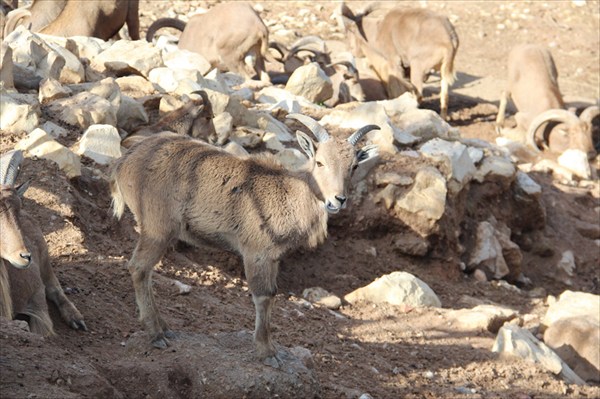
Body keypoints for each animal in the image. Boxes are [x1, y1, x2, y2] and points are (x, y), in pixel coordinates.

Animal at [0, 149, 86, 334]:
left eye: (18, 208)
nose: (25, 257)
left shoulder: (37, 307)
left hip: (46, 262)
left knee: (55, 288)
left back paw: (76, 319)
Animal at [109, 115, 380, 366]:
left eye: (354, 166)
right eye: (320, 162)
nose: (338, 200)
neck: (289, 193)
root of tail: (124, 162)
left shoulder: (273, 258)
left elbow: (271, 293)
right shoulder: (256, 252)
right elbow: (263, 296)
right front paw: (266, 352)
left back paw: (164, 327)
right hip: (157, 228)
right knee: (139, 268)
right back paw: (156, 334)